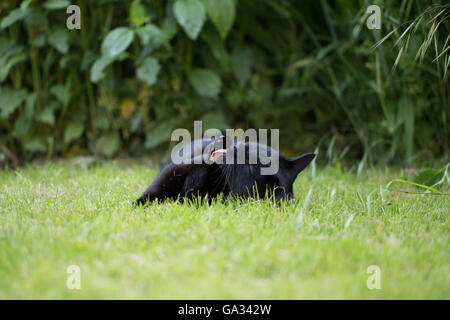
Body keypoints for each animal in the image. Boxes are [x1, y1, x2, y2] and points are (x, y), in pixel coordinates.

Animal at [135, 134, 314, 205]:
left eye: (251, 164)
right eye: (247, 145)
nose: (226, 140)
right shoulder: (176, 170)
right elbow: (154, 191)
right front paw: (137, 206)